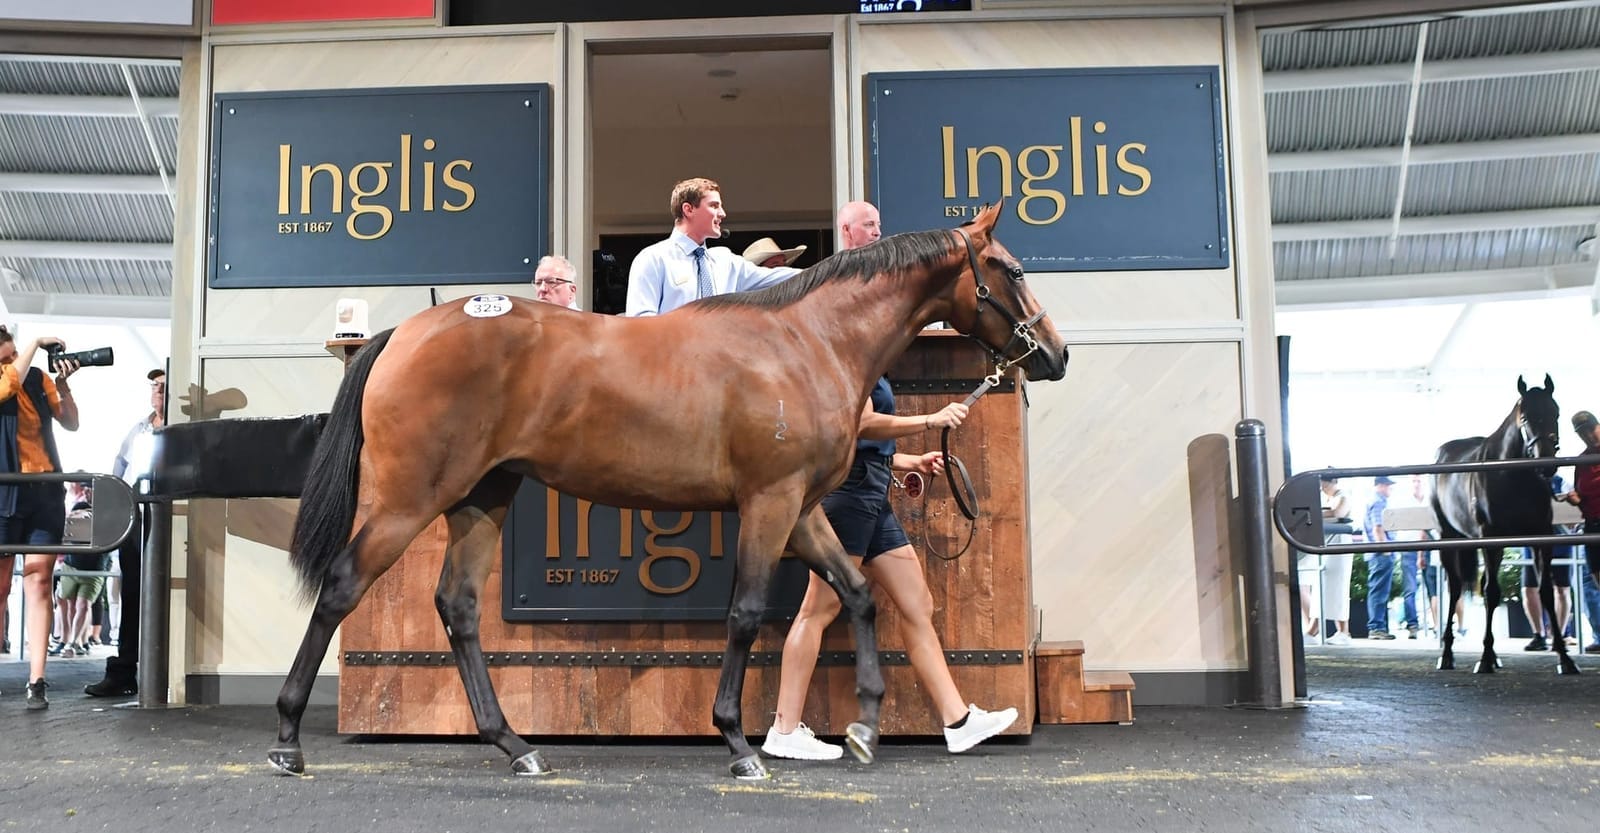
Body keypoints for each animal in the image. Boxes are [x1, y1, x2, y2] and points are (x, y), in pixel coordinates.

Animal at [265, 203, 1075, 780]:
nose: (1056, 353)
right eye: (1010, 268)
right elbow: (746, 613)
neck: (803, 341)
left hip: (482, 498)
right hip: (408, 499)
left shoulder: (802, 508)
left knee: (458, 607)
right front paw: (740, 744)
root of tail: (403, 332)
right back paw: (287, 740)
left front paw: (865, 726)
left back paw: (517, 746)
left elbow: (857, 592)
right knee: (342, 585)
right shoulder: (768, 504)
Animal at [1433, 377, 1568, 674]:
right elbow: (1492, 593)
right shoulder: (1491, 539)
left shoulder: (1542, 538)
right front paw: (1484, 659)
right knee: (1456, 589)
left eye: (1556, 413)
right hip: (1449, 539)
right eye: (1525, 417)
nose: (1546, 464)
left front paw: (1565, 658)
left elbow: (1546, 593)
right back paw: (1447, 654)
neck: (1511, 475)